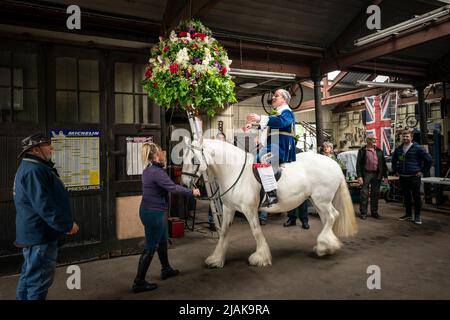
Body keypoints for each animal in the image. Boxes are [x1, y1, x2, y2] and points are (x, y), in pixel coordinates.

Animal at [181, 139, 356, 266]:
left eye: (193, 159)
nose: (184, 183)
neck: (234, 171)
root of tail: (334, 163)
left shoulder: (249, 209)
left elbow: (256, 231)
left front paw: (260, 257)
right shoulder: (228, 208)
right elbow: (224, 232)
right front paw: (216, 259)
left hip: (322, 200)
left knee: (333, 216)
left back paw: (323, 245)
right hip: (317, 201)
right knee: (327, 219)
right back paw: (327, 246)